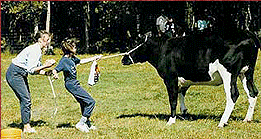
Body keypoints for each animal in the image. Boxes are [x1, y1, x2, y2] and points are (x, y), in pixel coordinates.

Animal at [121, 29, 258, 127]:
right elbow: (181, 93)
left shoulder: (170, 77)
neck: (163, 49)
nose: (124, 58)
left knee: (233, 95)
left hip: (228, 73)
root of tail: (249, 34)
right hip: (247, 72)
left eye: (138, 45)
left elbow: (173, 99)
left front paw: (171, 120)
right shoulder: (184, 79)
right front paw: (184, 112)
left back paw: (222, 122)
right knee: (253, 92)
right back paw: (247, 119)